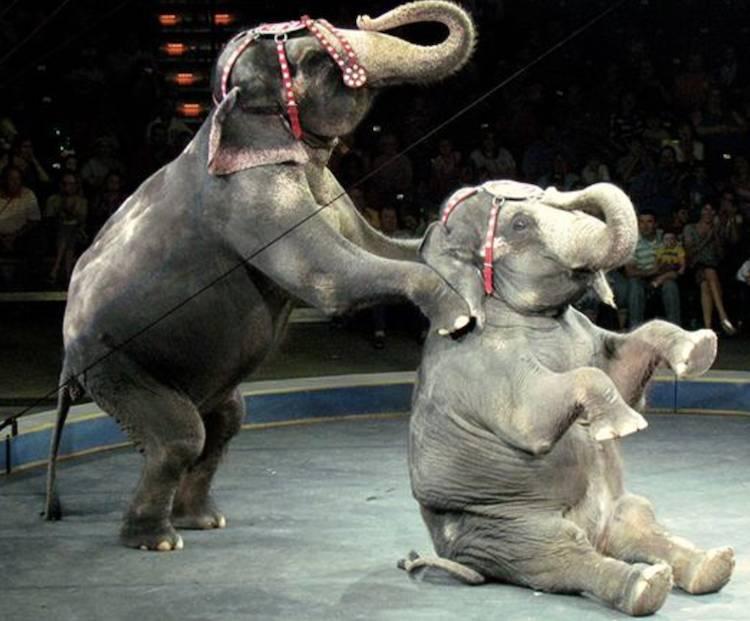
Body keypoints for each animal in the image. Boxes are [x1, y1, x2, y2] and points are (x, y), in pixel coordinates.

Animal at [43, 1, 479, 552]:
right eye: (315, 60)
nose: (371, 18)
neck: (217, 118)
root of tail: (65, 366)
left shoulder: (321, 183)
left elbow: (378, 246)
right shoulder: (250, 197)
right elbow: (328, 278)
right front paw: (458, 317)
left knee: (228, 421)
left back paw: (203, 520)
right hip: (115, 366)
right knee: (181, 437)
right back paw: (157, 539)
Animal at [401, 180, 735, 616]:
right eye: (520, 224)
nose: (555, 189)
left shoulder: (585, 335)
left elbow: (621, 368)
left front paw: (700, 349)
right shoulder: (482, 366)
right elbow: (536, 414)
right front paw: (625, 426)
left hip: (614, 512)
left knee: (638, 521)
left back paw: (713, 564)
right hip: (500, 527)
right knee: (559, 551)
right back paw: (645, 586)